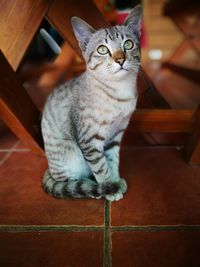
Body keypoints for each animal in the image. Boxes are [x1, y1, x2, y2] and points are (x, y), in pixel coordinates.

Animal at [41, 4, 142, 202]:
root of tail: (49, 168)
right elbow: (101, 168)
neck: (119, 93)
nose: (120, 60)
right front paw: (109, 188)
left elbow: (112, 161)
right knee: (66, 182)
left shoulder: (115, 136)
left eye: (128, 44)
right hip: (70, 158)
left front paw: (115, 181)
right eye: (102, 49)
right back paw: (90, 187)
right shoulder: (90, 140)